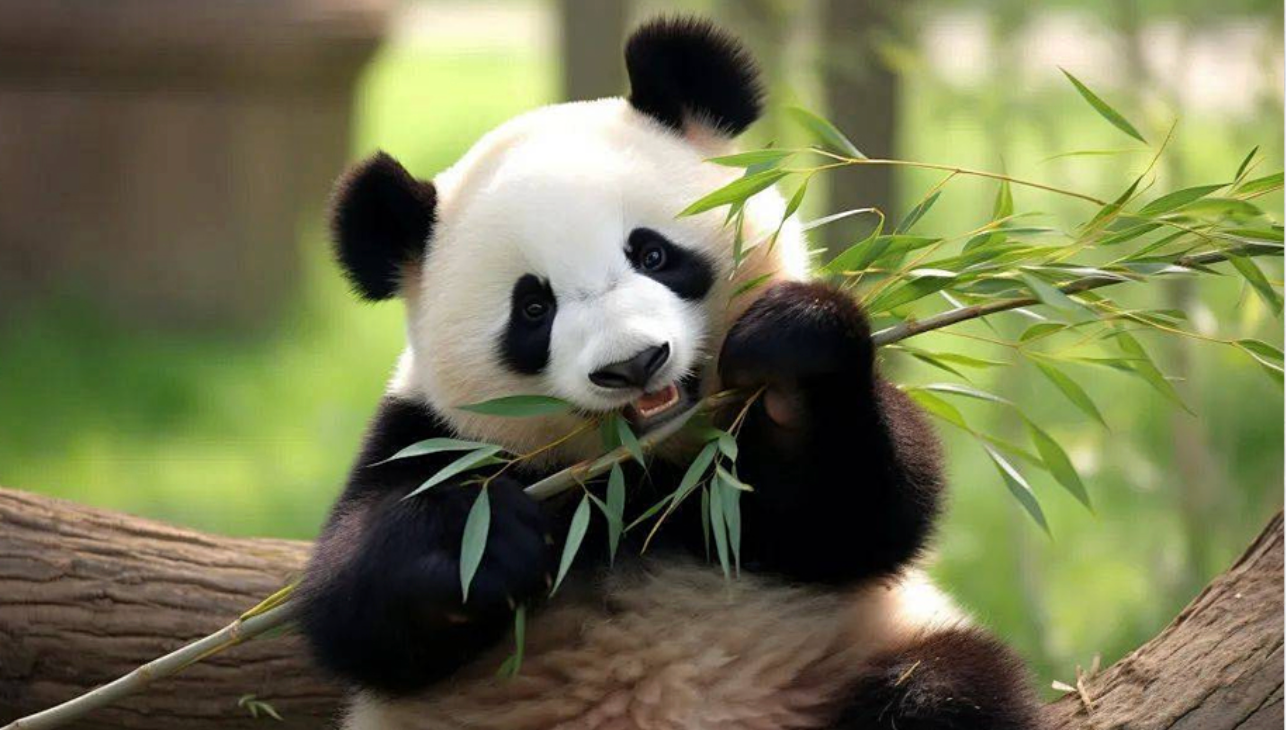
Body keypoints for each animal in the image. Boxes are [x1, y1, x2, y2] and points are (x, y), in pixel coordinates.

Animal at [298, 16, 1041, 730]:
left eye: (652, 254)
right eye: (533, 308)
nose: (633, 363)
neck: (640, 474)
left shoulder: (747, 498)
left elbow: (860, 517)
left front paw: (793, 361)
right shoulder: (427, 435)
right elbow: (352, 610)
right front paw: (478, 541)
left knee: (950, 688)